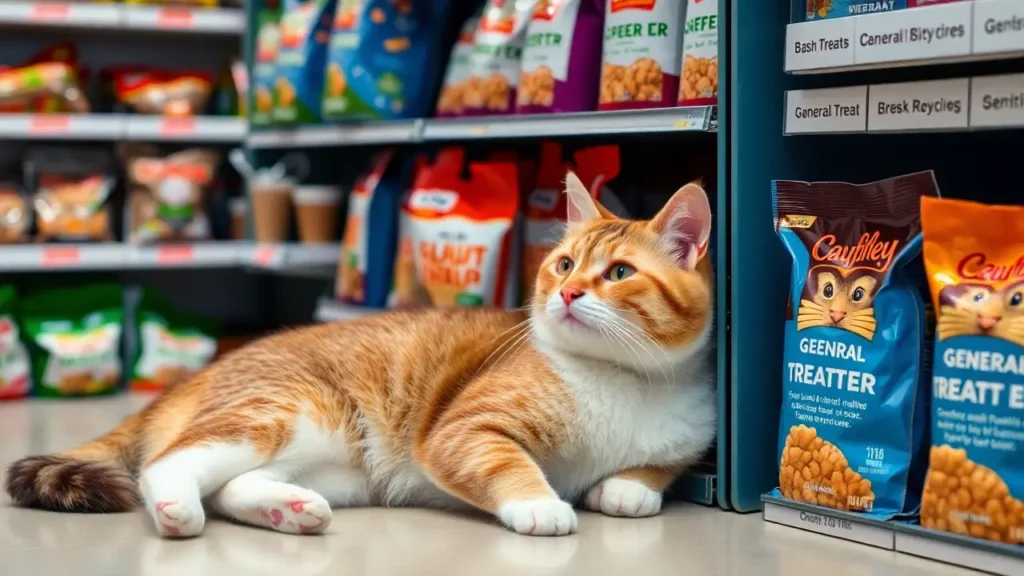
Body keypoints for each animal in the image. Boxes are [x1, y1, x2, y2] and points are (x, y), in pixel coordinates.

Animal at [4, 172, 716, 537]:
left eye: (619, 273)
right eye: (565, 264)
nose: (567, 292)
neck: (622, 379)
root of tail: (204, 373)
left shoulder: (685, 438)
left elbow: (653, 472)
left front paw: (627, 489)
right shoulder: (460, 431)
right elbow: (505, 461)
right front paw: (540, 502)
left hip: (332, 463)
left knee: (236, 484)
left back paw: (285, 510)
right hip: (284, 410)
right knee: (169, 464)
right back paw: (178, 509)